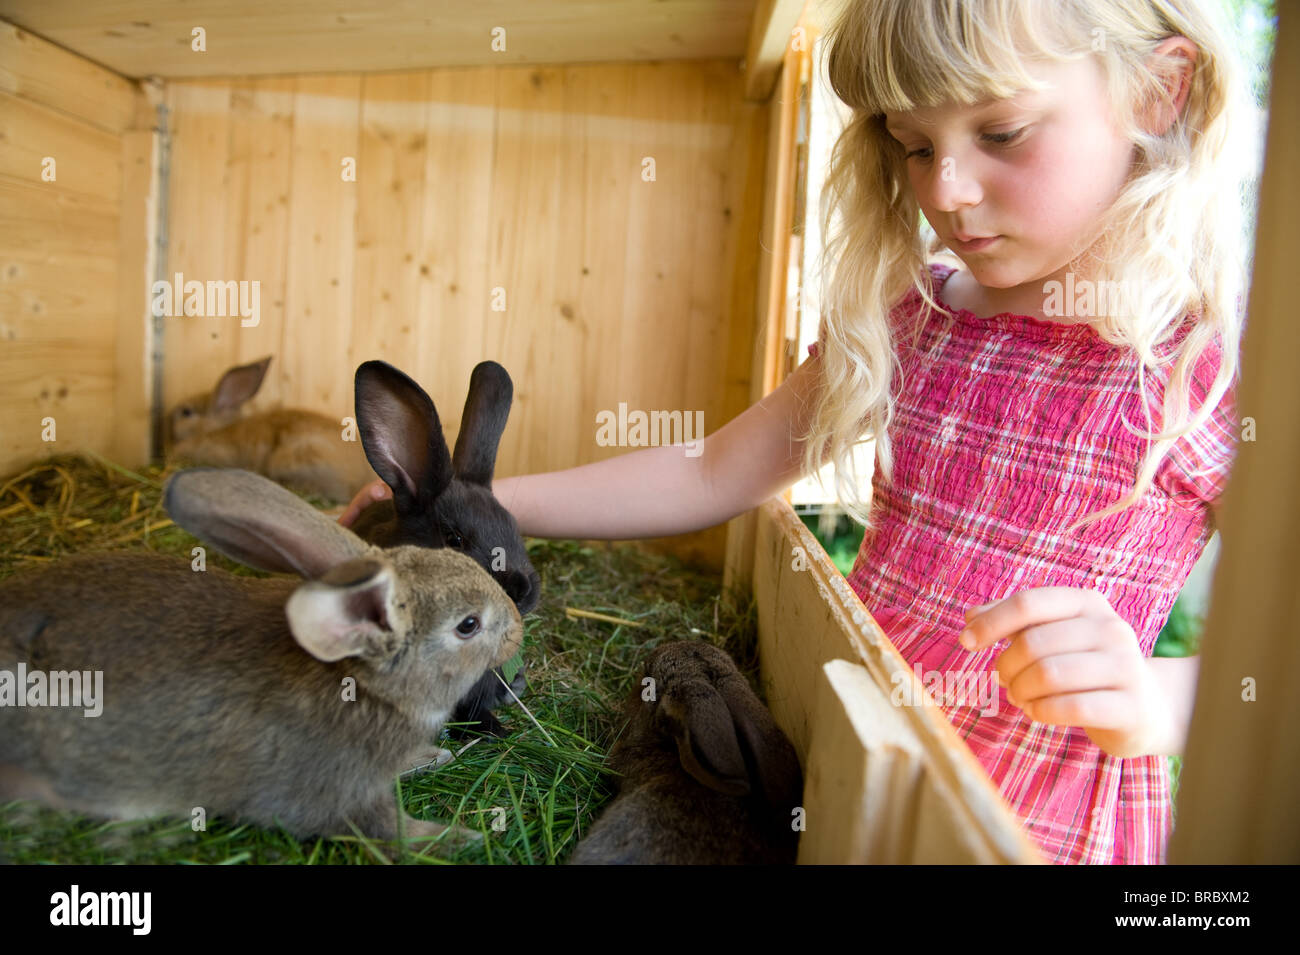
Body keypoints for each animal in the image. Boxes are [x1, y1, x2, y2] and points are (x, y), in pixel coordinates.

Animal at [0, 467, 522, 845]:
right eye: (468, 625)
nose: (516, 626)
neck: (359, 679)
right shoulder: (336, 792)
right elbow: (384, 831)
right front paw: (461, 839)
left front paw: (434, 757)